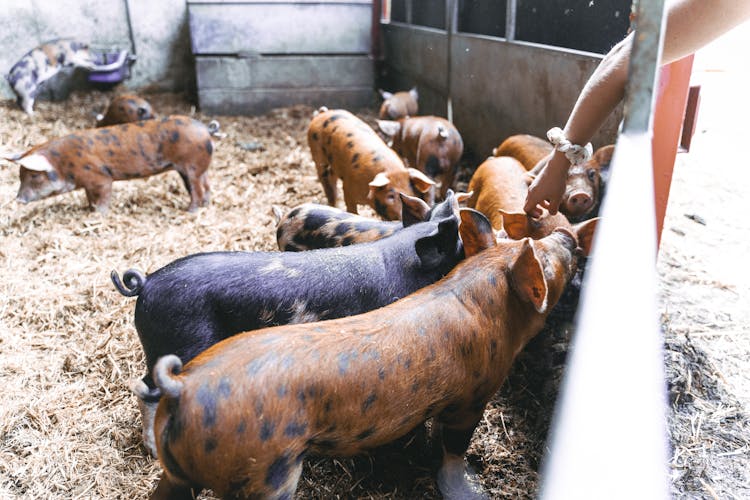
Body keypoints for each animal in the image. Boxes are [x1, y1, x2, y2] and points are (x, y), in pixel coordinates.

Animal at [5, 115, 216, 211]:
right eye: (20, 176)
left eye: (34, 175)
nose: (18, 199)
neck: (65, 164)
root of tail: (205, 129)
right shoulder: (88, 184)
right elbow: (90, 198)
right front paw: (90, 209)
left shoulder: (100, 178)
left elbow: (104, 197)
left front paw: (98, 213)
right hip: (197, 168)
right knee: (206, 185)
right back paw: (205, 204)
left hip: (191, 166)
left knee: (197, 188)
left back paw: (190, 211)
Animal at [148, 211, 600, 500]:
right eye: (551, 263)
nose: (567, 238)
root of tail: (184, 387)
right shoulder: (472, 397)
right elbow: (453, 448)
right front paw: (470, 489)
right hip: (263, 472)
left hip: (180, 472)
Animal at [308, 106, 438, 220]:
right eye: (390, 196)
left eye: (411, 193)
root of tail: (323, 113)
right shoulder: (348, 188)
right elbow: (352, 208)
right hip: (317, 153)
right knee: (324, 178)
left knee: (332, 177)